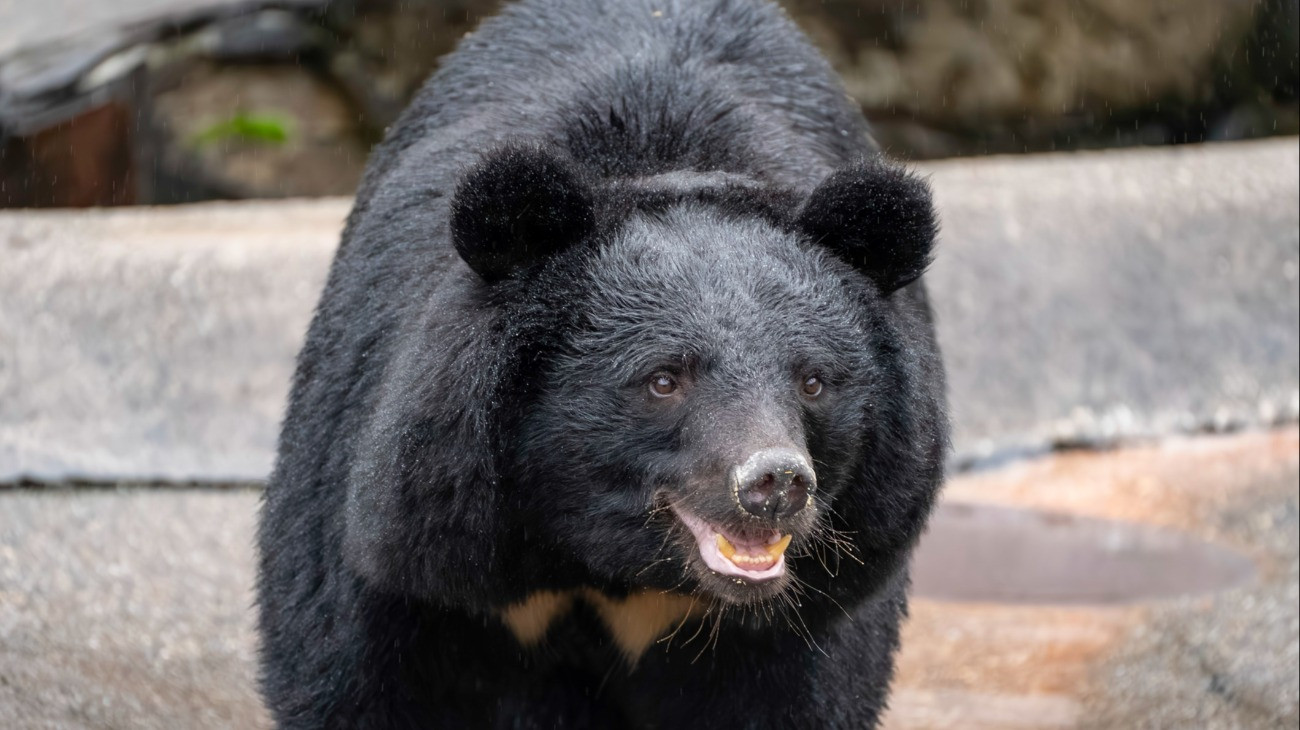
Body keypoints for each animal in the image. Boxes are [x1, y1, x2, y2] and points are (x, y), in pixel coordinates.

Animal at [256, 0, 947, 727]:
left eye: (812, 382)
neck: (606, 564)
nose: (776, 483)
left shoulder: (803, 614)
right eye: (663, 380)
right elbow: (351, 673)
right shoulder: (418, 541)